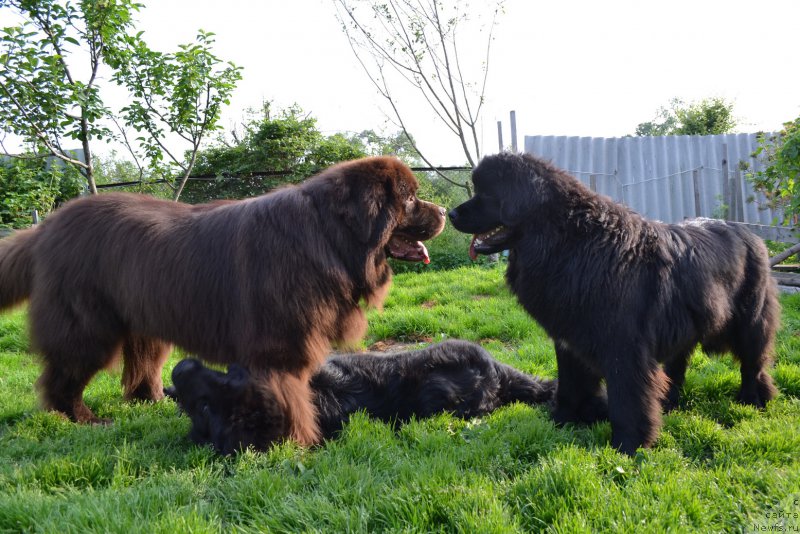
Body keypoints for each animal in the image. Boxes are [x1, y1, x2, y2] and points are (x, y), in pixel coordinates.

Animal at [0, 156, 446, 448]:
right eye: (409, 200)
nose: (443, 209)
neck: (327, 236)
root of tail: (46, 227)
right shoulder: (279, 347)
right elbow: (291, 399)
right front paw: (298, 442)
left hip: (144, 318)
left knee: (141, 367)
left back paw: (156, 400)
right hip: (87, 326)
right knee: (63, 376)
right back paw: (82, 419)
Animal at [450, 152, 780, 456]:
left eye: (486, 193)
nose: (451, 213)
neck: (570, 243)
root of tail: (750, 233)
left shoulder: (625, 347)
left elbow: (627, 398)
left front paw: (628, 446)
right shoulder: (568, 341)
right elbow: (570, 385)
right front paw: (563, 422)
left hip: (750, 322)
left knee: (753, 365)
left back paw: (752, 401)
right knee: (677, 366)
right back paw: (669, 402)